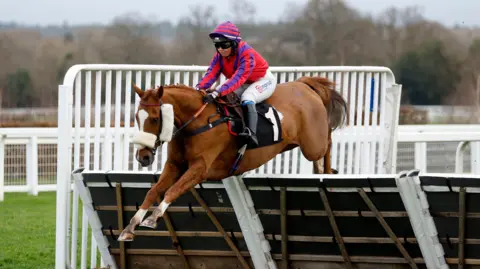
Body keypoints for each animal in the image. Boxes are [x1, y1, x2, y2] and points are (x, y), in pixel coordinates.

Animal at [117, 74, 346, 240]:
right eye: (137, 117)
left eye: (155, 119)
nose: (143, 157)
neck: (198, 121)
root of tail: (304, 85)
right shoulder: (174, 165)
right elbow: (153, 191)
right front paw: (130, 226)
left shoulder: (201, 168)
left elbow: (173, 190)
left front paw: (152, 218)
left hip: (312, 144)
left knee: (327, 142)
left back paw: (328, 171)